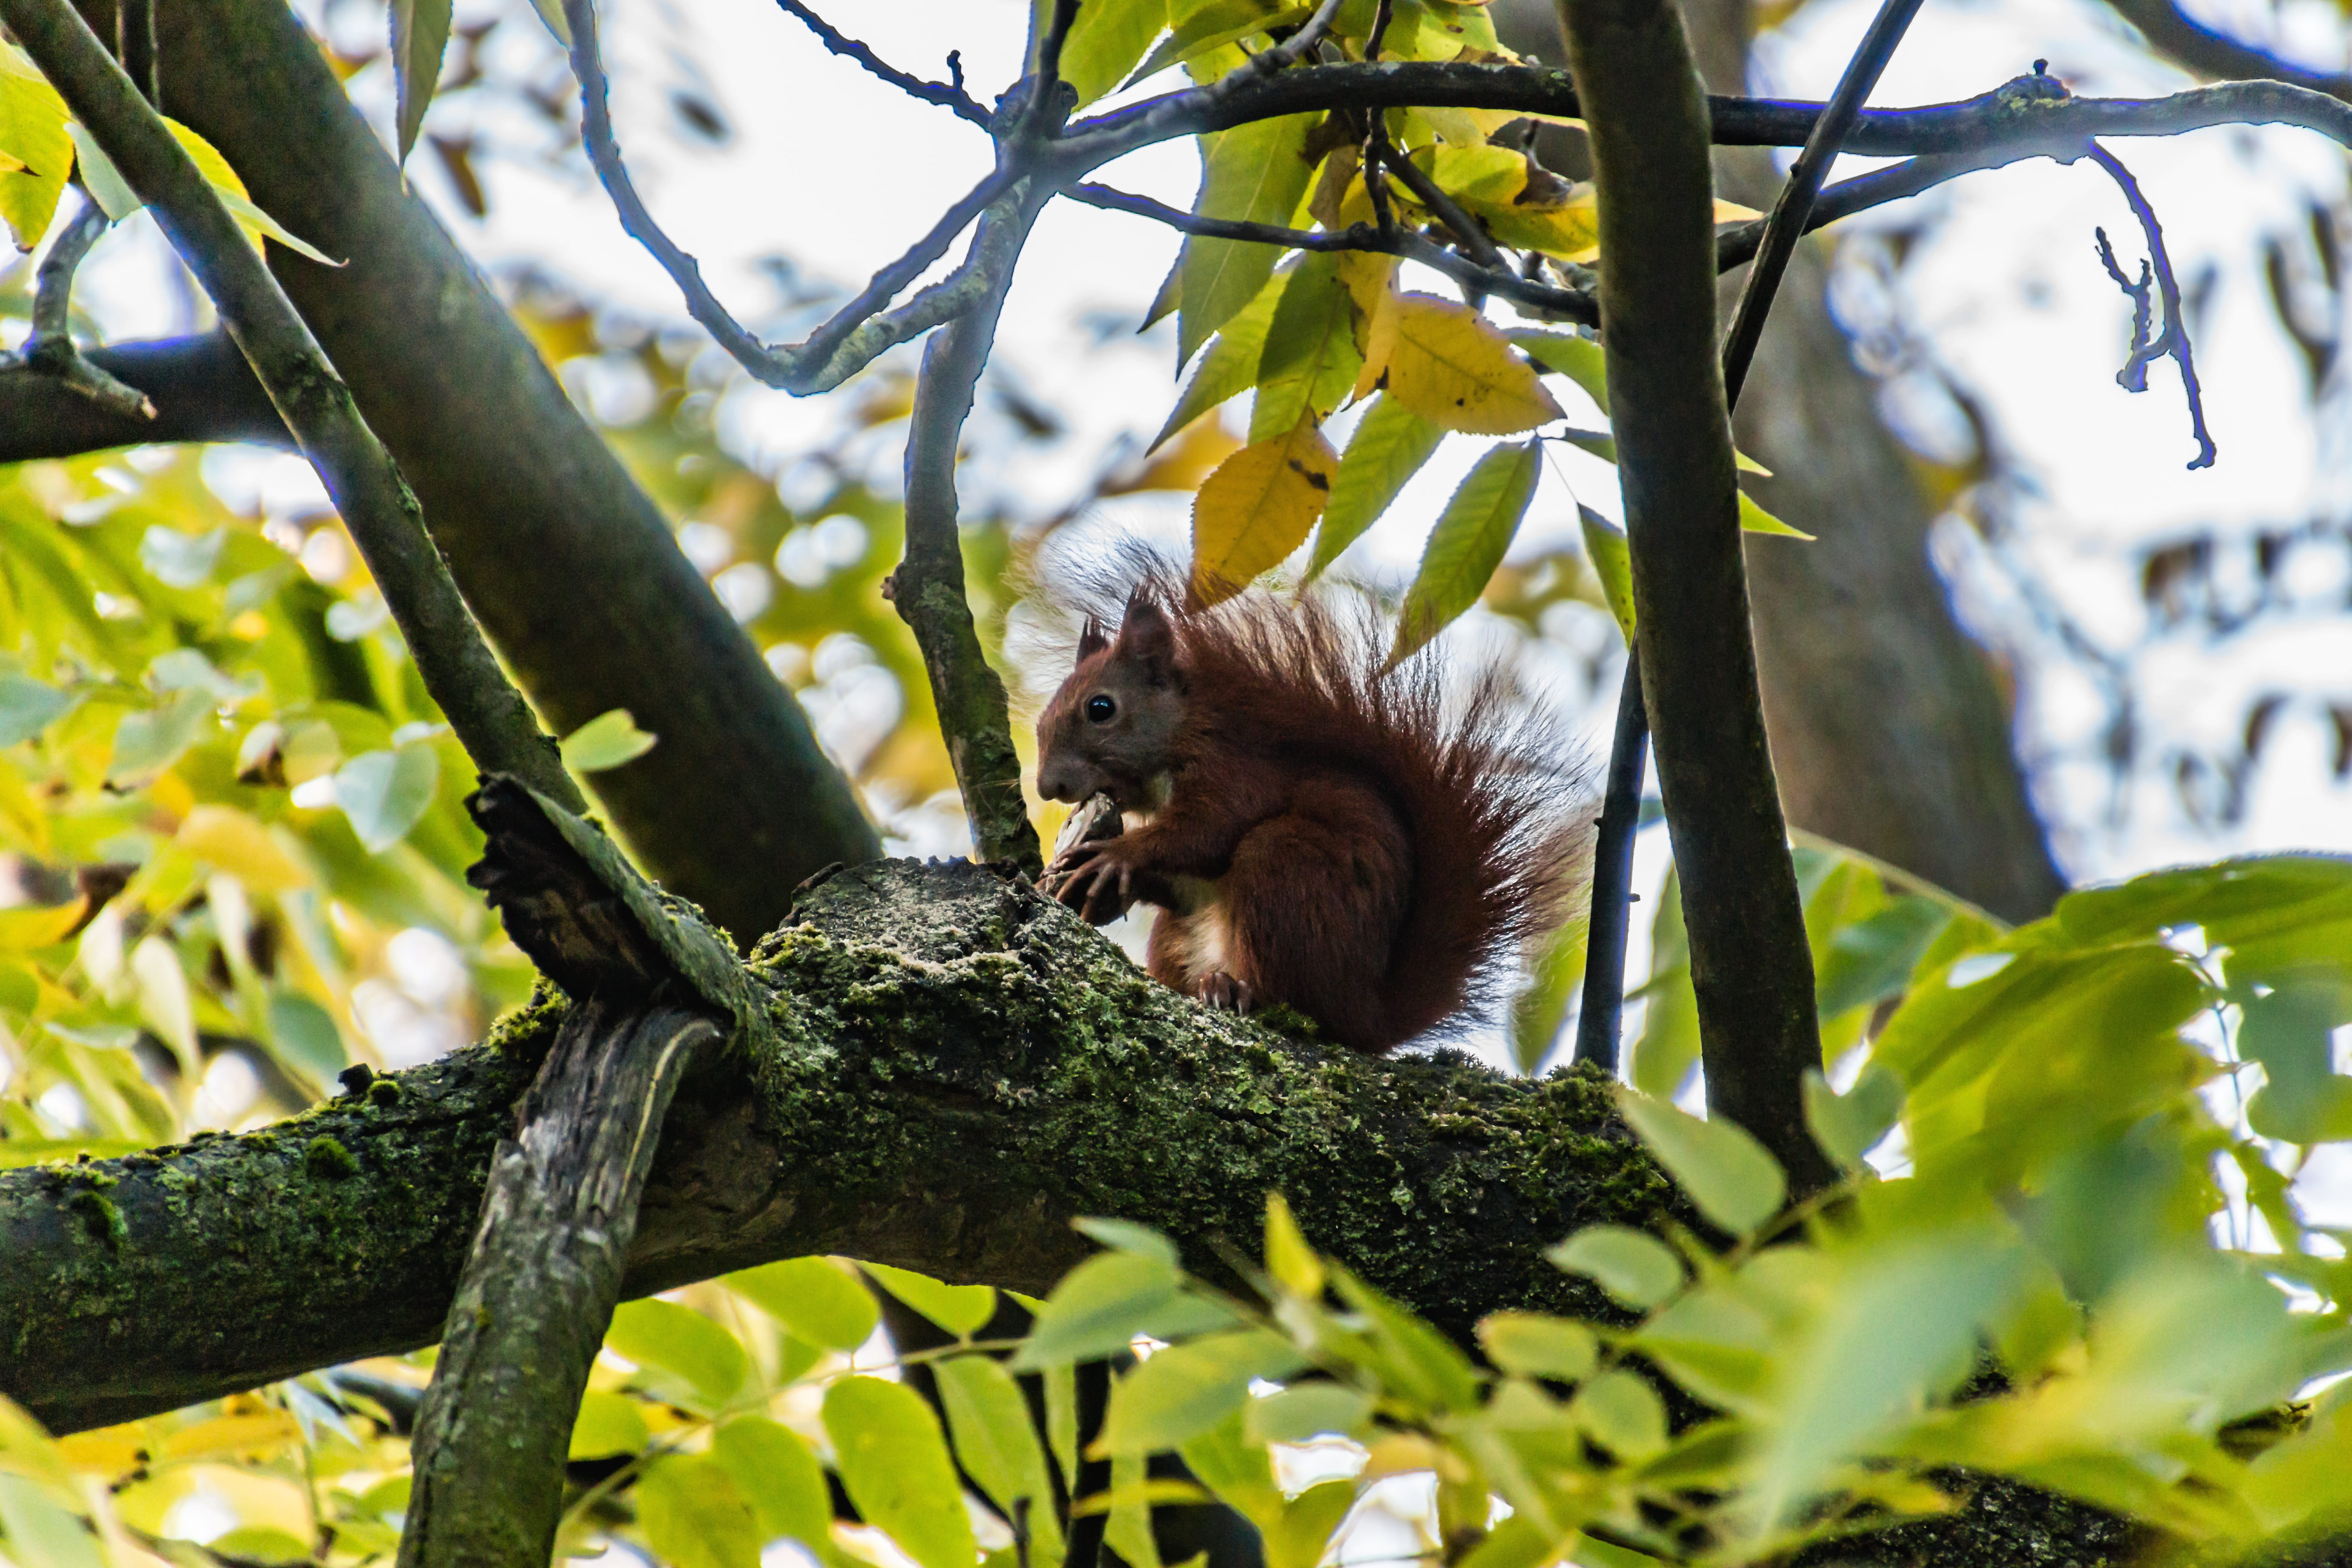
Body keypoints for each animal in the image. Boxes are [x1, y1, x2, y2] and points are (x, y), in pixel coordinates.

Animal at [1034, 566, 1593, 1055]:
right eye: (1040, 723)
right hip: (1180, 935)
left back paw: (1237, 989)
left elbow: (1208, 832)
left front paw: (1116, 855)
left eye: (1101, 709)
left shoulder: (1234, 771)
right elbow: (1173, 880)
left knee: (1293, 992)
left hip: (1287, 870)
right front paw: (1092, 885)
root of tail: (1368, 1018)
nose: (1047, 787)